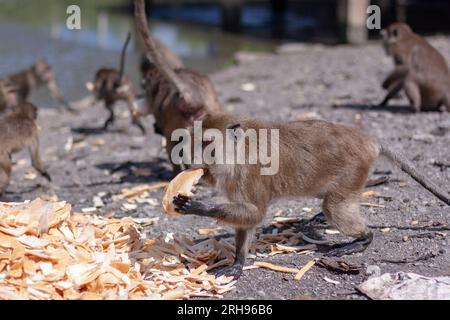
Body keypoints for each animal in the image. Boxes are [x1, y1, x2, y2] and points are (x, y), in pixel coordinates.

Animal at [171, 112, 448, 280]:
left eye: (207, 144)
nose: (189, 160)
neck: (239, 151)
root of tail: (367, 140)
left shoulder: (250, 173)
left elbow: (255, 213)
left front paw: (197, 206)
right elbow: (248, 220)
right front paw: (239, 262)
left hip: (355, 167)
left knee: (334, 207)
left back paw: (363, 239)